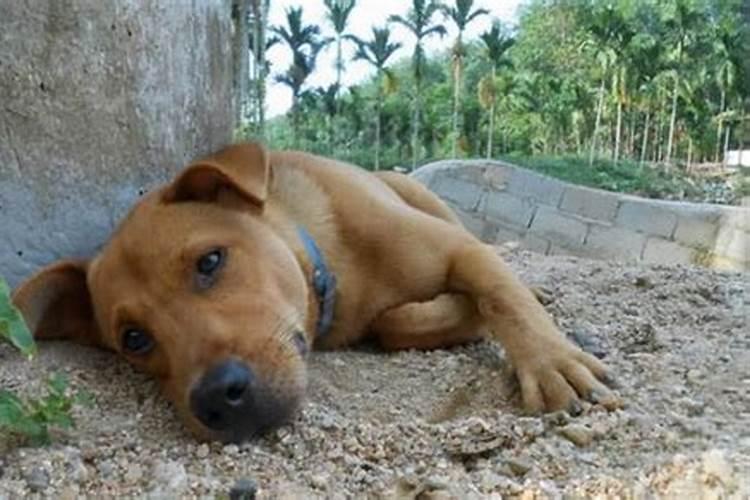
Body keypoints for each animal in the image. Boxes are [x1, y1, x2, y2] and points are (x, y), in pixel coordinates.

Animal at [13, 142, 624, 442]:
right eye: (135, 339)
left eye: (210, 261)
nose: (215, 399)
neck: (333, 276)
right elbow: (401, 320)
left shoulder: (458, 249)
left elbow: (502, 293)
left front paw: (552, 360)